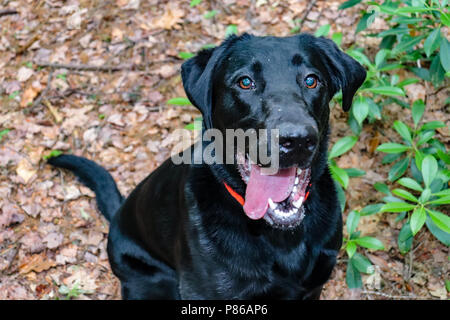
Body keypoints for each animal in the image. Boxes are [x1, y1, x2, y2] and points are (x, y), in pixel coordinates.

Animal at [49, 33, 366, 298]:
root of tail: (119, 214)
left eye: (312, 80)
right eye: (245, 82)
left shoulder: (311, 288)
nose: (297, 140)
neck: (279, 238)